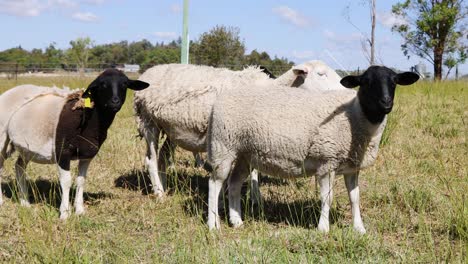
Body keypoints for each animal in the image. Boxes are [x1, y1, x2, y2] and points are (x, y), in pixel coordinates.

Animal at [0, 68, 148, 219]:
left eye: (124, 84)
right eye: (102, 85)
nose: (115, 102)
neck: (88, 118)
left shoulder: (87, 156)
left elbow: (81, 180)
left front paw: (80, 210)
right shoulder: (62, 153)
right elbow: (66, 182)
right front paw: (65, 213)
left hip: (27, 148)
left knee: (19, 167)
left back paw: (25, 202)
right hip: (2, 139)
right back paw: (1, 201)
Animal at [133, 60, 346, 200]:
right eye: (321, 74)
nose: (346, 91)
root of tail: (148, 72)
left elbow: (252, 171)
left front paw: (250, 196)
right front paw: (245, 197)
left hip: (170, 129)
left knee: (162, 158)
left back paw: (164, 186)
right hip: (148, 121)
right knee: (151, 159)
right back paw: (159, 193)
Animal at [207, 66, 418, 233]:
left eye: (395, 82)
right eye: (365, 82)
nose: (386, 102)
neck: (354, 115)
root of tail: (221, 98)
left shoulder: (352, 167)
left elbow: (355, 198)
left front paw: (359, 229)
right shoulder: (327, 161)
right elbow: (327, 198)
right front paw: (323, 228)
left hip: (244, 153)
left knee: (234, 183)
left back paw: (236, 221)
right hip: (223, 147)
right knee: (215, 184)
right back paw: (213, 225)